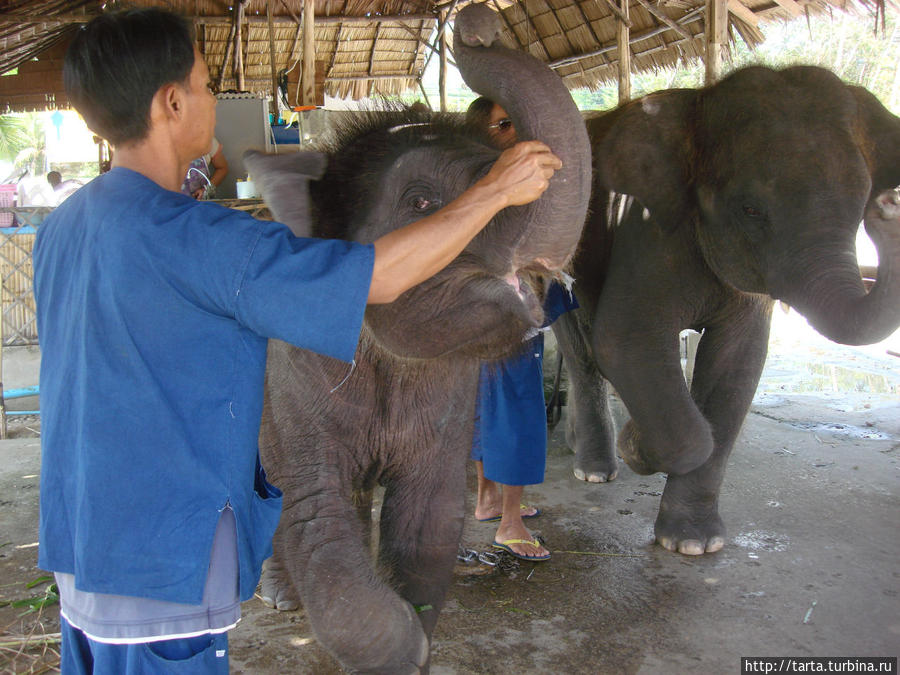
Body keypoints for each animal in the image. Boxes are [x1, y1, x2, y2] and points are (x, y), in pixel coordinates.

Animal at [241, 3, 592, 672]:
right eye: (422, 201)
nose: (478, 20)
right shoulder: (293, 378)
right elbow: (315, 514)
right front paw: (402, 642)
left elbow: (428, 521)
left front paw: (418, 629)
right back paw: (278, 596)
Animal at [556, 64, 900, 556]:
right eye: (751, 209)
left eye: (860, 207)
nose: (888, 207)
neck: (701, 103)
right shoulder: (648, 229)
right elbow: (625, 340)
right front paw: (635, 442)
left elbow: (738, 363)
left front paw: (694, 544)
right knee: (579, 344)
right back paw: (595, 470)